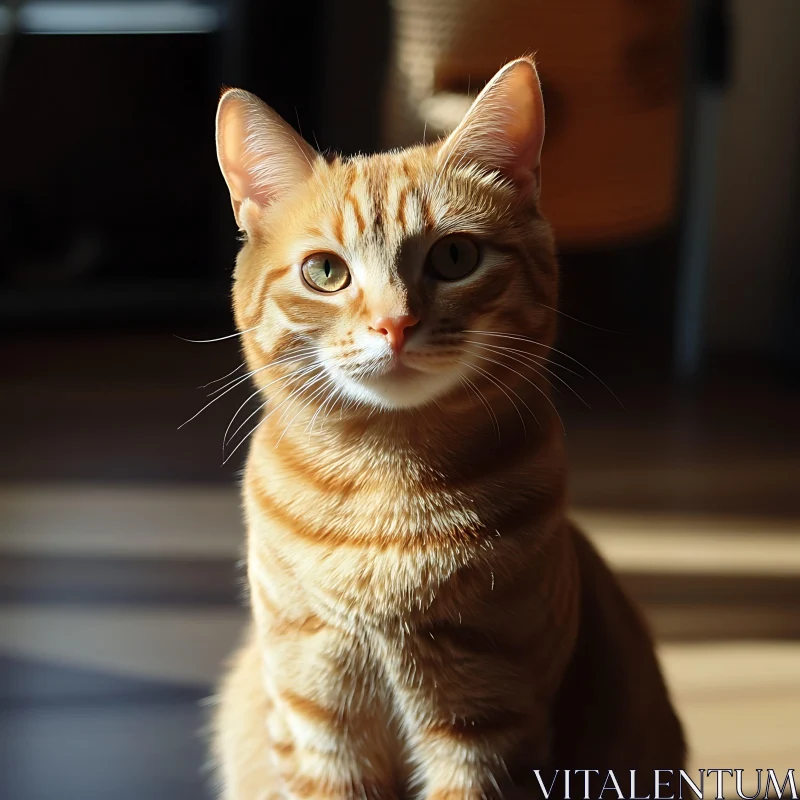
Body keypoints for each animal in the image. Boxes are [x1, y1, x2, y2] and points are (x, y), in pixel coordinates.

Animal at [209, 57, 684, 800]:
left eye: (455, 258)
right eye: (325, 271)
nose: (393, 324)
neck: (385, 488)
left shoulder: (488, 729)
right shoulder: (320, 723)